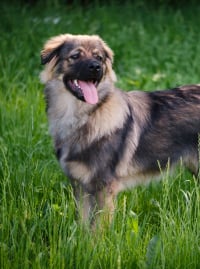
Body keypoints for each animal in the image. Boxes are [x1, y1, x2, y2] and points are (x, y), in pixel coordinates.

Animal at [40, 33, 200, 225]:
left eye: (99, 58)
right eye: (75, 56)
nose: (96, 67)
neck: (84, 116)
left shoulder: (104, 187)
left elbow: (98, 228)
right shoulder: (81, 186)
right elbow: (83, 226)